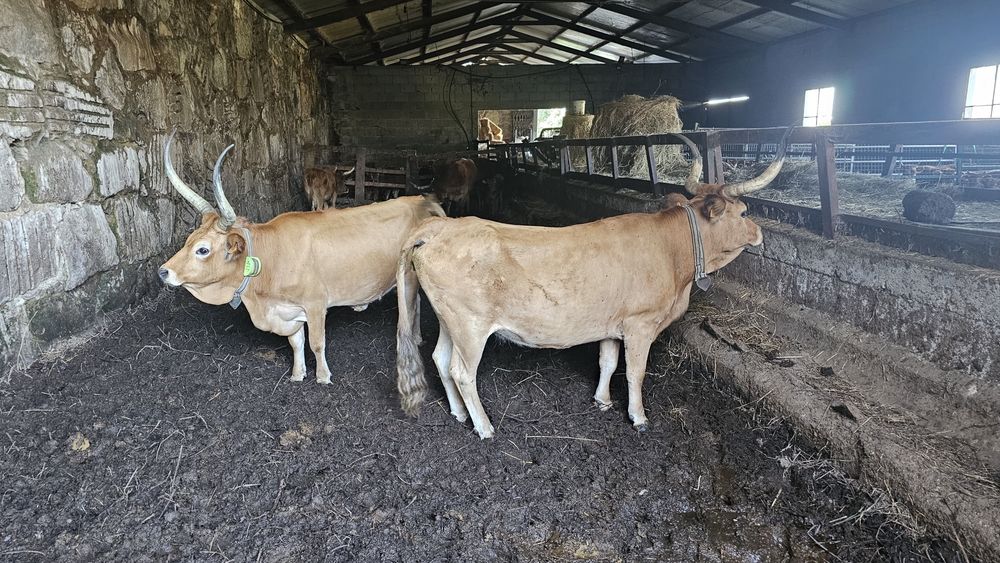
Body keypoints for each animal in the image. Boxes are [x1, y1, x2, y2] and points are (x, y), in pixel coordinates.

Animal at [158, 131, 444, 384]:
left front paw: (323, 377)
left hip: (409, 275)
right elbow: (296, 343)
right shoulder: (289, 312)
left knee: (413, 303)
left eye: (203, 249)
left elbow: (317, 343)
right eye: (189, 240)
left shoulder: (316, 304)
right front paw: (298, 373)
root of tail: (419, 201)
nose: (163, 271)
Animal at [394, 128, 792, 439]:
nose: (759, 235)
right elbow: (635, 372)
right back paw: (483, 426)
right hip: (470, 325)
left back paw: (459, 413)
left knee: (441, 359)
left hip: (450, 320)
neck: (671, 250)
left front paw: (602, 400)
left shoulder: (612, 324)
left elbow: (608, 363)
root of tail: (440, 228)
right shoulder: (640, 324)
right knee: (462, 371)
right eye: (744, 212)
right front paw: (639, 417)